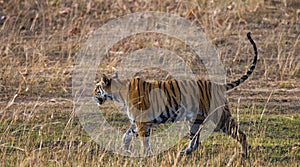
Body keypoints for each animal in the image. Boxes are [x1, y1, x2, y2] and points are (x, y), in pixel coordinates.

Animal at [94, 32, 258, 157]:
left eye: (97, 88)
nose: (92, 95)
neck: (118, 93)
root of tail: (218, 85)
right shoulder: (137, 122)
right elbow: (126, 135)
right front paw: (127, 149)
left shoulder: (141, 121)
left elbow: (143, 140)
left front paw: (143, 155)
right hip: (196, 119)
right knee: (196, 141)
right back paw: (183, 153)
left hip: (218, 118)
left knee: (240, 134)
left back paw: (243, 155)